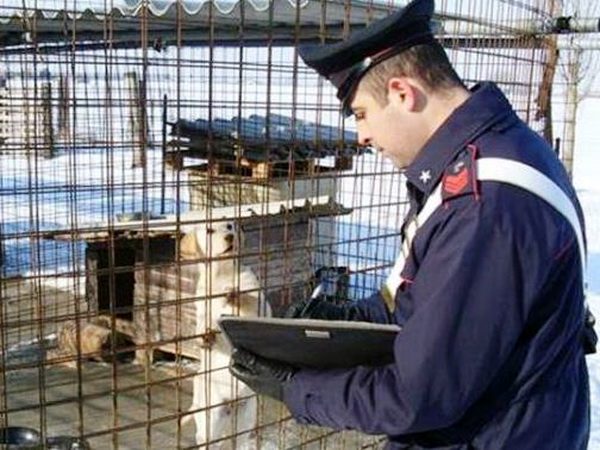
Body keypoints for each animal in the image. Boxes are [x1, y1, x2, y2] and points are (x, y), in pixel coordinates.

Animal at [178, 221, 272, 446]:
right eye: (209, 230)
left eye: (230, 226)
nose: (230, 236)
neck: (222, 274)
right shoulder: (202, 306)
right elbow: (204, 323)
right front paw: (205, 335)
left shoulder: (260, 303)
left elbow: (249, 300)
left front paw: (234, 294)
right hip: (210, 421)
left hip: (246, 417)